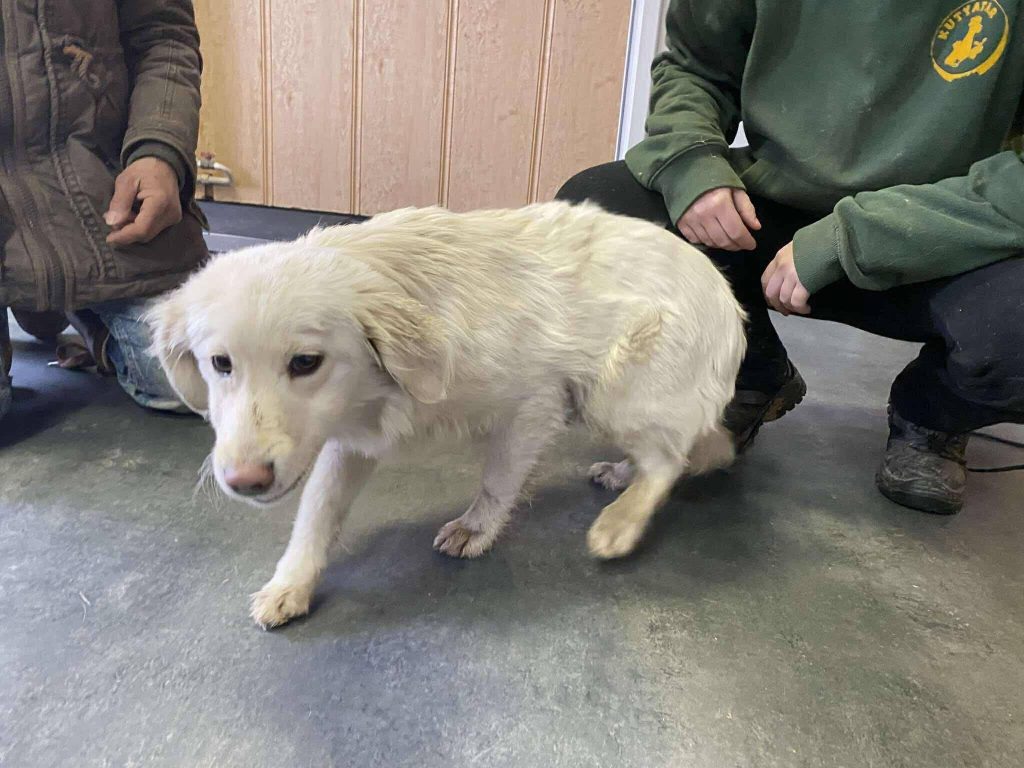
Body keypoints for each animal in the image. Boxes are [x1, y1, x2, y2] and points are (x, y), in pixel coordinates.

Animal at [148, 202, 746, 628]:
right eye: (220, 364)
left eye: (305, 362)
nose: (243, 482)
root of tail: (728, 296)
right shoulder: (349, 438)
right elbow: (315, 514)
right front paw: (290, 584)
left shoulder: (532, 405)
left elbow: (498, 481)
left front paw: (476, 529)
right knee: (674, 452)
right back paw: (622, 476)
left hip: (613, 391)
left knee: (673, 459)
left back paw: (620, 522)